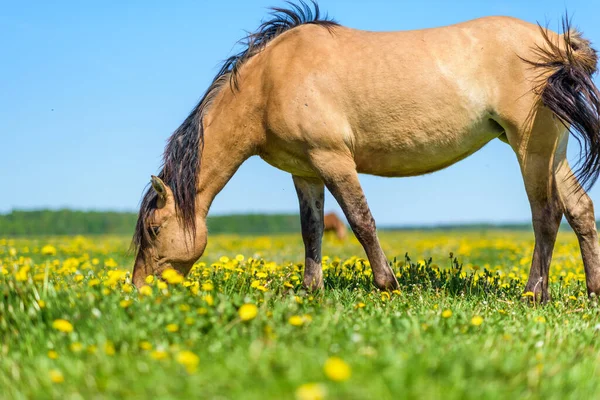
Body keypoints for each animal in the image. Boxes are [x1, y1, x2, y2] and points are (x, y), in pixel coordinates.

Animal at [131, 0, 600, 304]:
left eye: (153, 229)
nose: (137, 289)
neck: (269, 82)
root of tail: (557, 42)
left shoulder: (333, 159)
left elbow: (361, 221)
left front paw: (387, 284)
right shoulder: (305, 172)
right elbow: (312, 230)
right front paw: (311, 290)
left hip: (531, 147)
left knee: (547, 214)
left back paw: (533, 293)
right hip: (552, 150)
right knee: (579, 209)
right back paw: (593, 292)